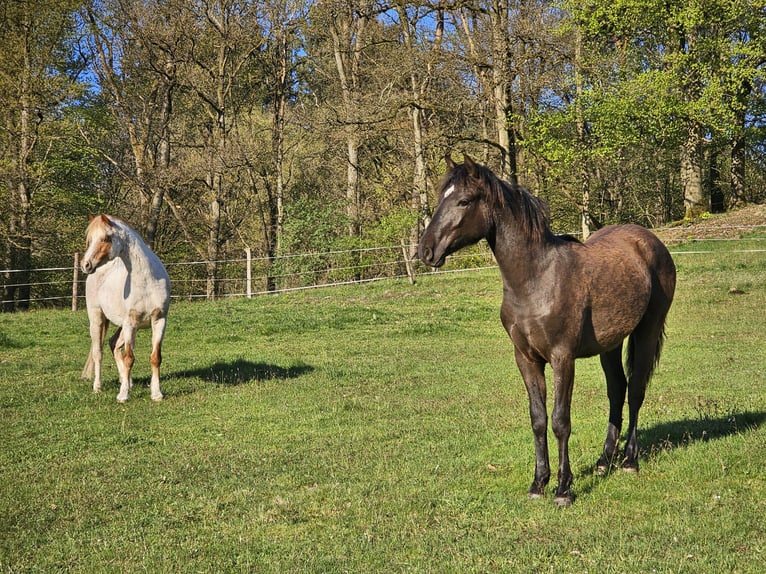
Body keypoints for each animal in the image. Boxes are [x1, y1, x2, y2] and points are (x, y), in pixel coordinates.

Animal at [80, 214, 170, 403]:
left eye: (105, 238)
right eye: (90, 240)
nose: (85, 265)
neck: (146, 281)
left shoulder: (159, 320)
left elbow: (155, 357)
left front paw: (156, 394)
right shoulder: (130, 323)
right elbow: (129, 358)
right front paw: (123, 395)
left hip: (124, 327)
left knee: (114, 344)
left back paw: (127, 381)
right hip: (97, 318)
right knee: (98, 352)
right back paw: (98, 387)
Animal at [418, 156, 676, 506]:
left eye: (464, 200)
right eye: (441, 197)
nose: (425, 250)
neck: (536, 279)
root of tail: (649, 241)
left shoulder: (562, 358)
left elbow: (560, 421)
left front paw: (564, 488)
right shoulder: (526, 359)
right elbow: (538, 420)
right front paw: (538, 483)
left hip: (647, 331)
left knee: (635, 390)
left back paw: (629, 461)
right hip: (610, 344)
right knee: (617, 390)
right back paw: (603, 461)